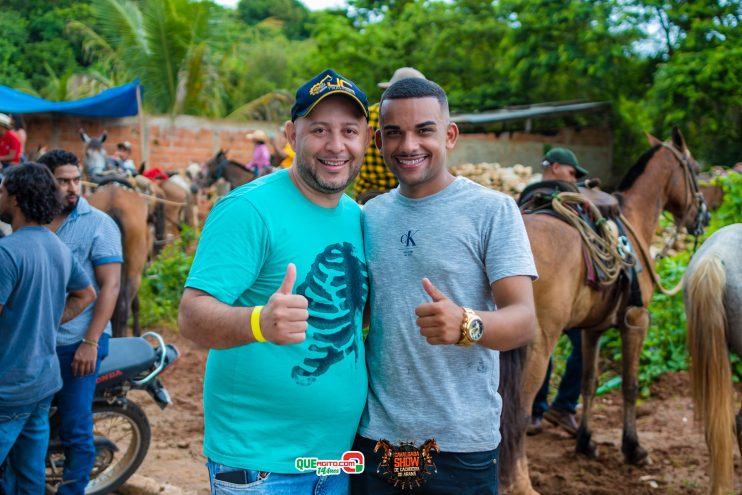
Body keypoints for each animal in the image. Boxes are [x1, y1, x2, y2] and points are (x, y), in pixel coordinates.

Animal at [508, 129, 712, 495]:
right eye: (696, 168)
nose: (704, 217)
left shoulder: (592, 330)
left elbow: (588, 382)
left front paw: (586, 442)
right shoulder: (635, 322)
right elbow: (630, 385)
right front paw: (634, 449)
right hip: (537, 345)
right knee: (517, 410)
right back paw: (520, 484)